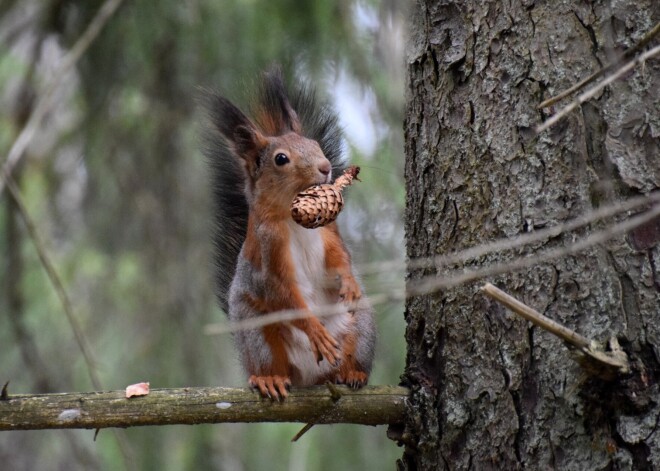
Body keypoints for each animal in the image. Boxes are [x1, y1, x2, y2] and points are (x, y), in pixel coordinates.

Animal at [205, 69, 376, 402]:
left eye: (314, 143)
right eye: (281, 159)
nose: (325, 167)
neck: (295, 219)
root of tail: (308, 377)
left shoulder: (329, 231)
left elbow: (340, 258)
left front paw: (349, 282)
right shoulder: (268, 253)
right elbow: (281, 292)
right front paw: (314, 330)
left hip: (360, 326)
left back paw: (352, 373)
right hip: (258, 334)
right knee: (272, 363)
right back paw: (269, 378)